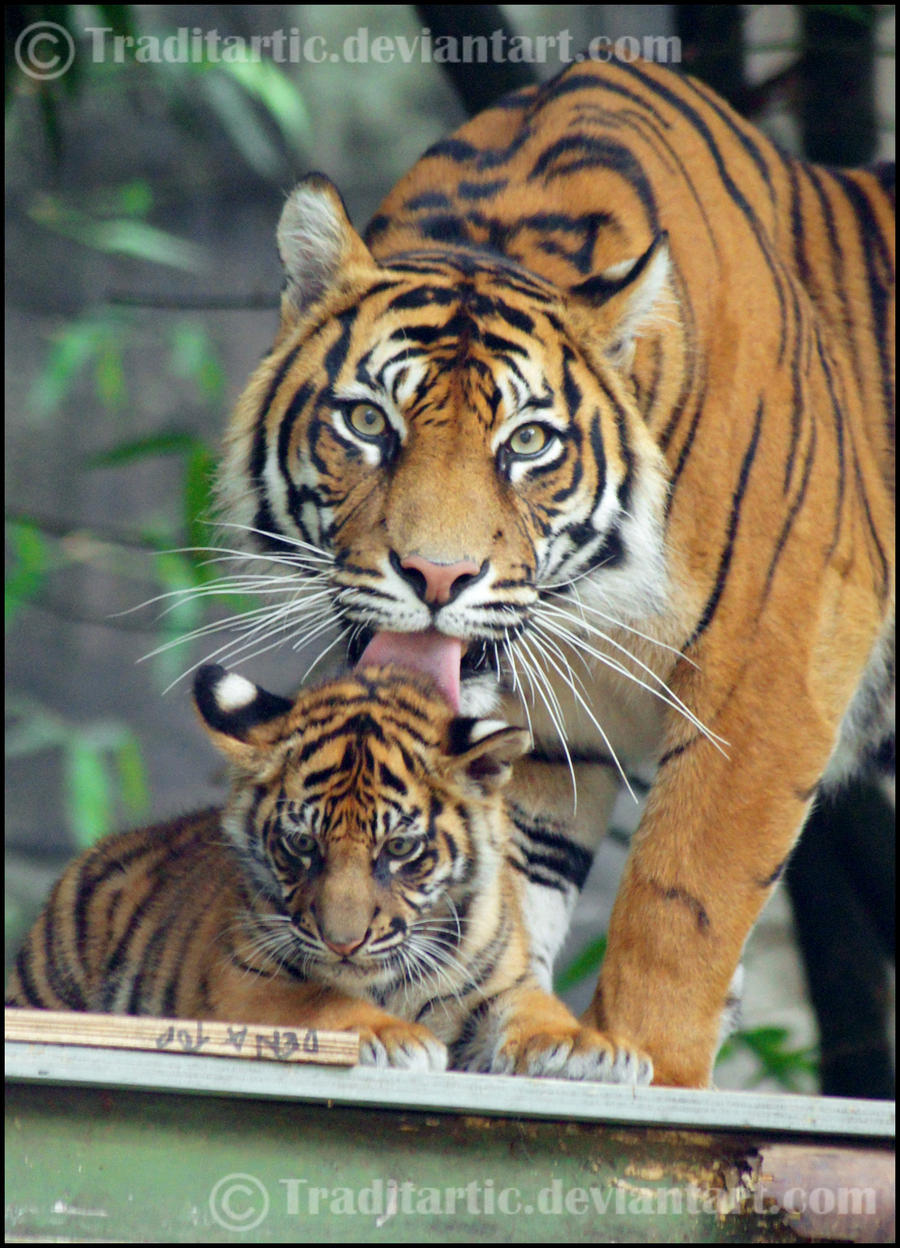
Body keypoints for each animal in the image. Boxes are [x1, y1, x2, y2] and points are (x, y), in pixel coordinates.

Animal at [217, 60, 893, 1093]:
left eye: (528, 442)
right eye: (369, 422)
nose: (438, 575)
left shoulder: (772, 671)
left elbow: (682, 906)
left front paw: (655, 1070)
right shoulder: (546, 739)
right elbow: (505, 887)